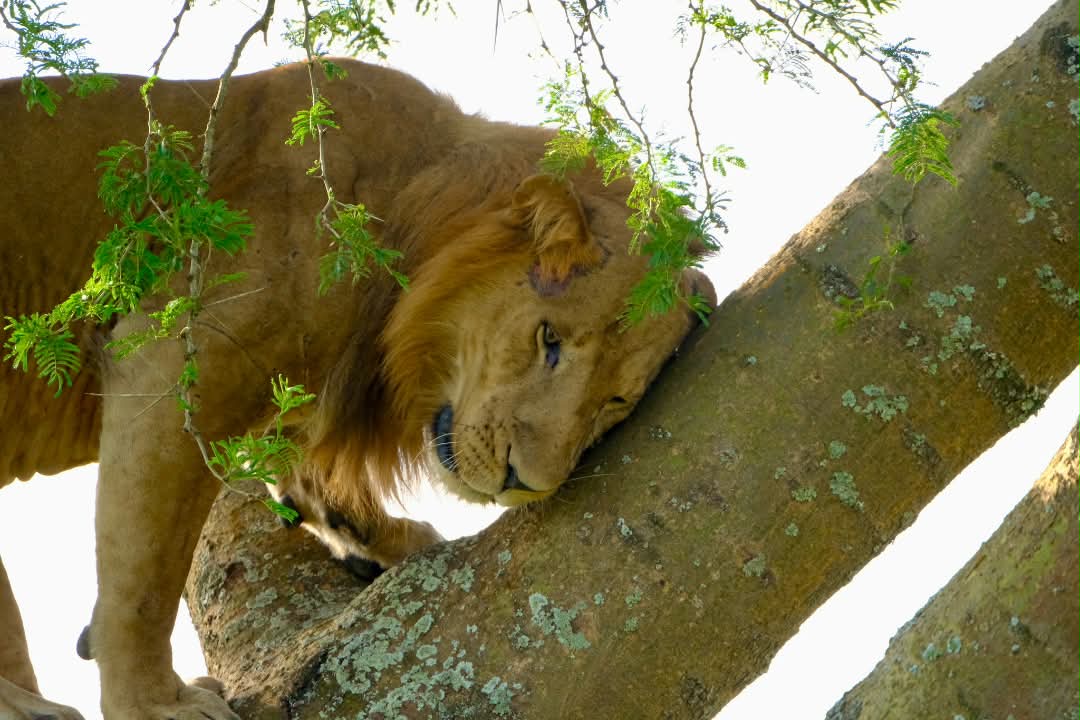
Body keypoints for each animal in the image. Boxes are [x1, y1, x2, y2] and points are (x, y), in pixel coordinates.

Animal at [0, 59, 713, 719]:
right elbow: (142, 579)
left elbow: (308, 477)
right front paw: (152, 704)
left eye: (614, 403)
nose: (523, 483)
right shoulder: (172, 352)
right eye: (550, 340)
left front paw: (386, 539)